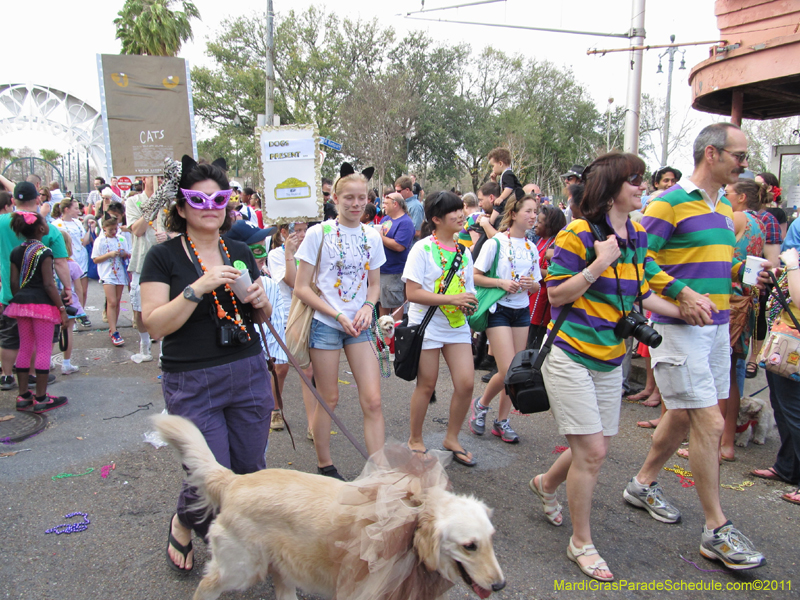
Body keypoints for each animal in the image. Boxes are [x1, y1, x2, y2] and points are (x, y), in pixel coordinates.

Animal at [152, 414, 504, 600]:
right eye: (469, 546)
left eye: (491, 540)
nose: (500, 585)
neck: (409, 522)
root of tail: (234, 480)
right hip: (242, 568)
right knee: (207, 585)